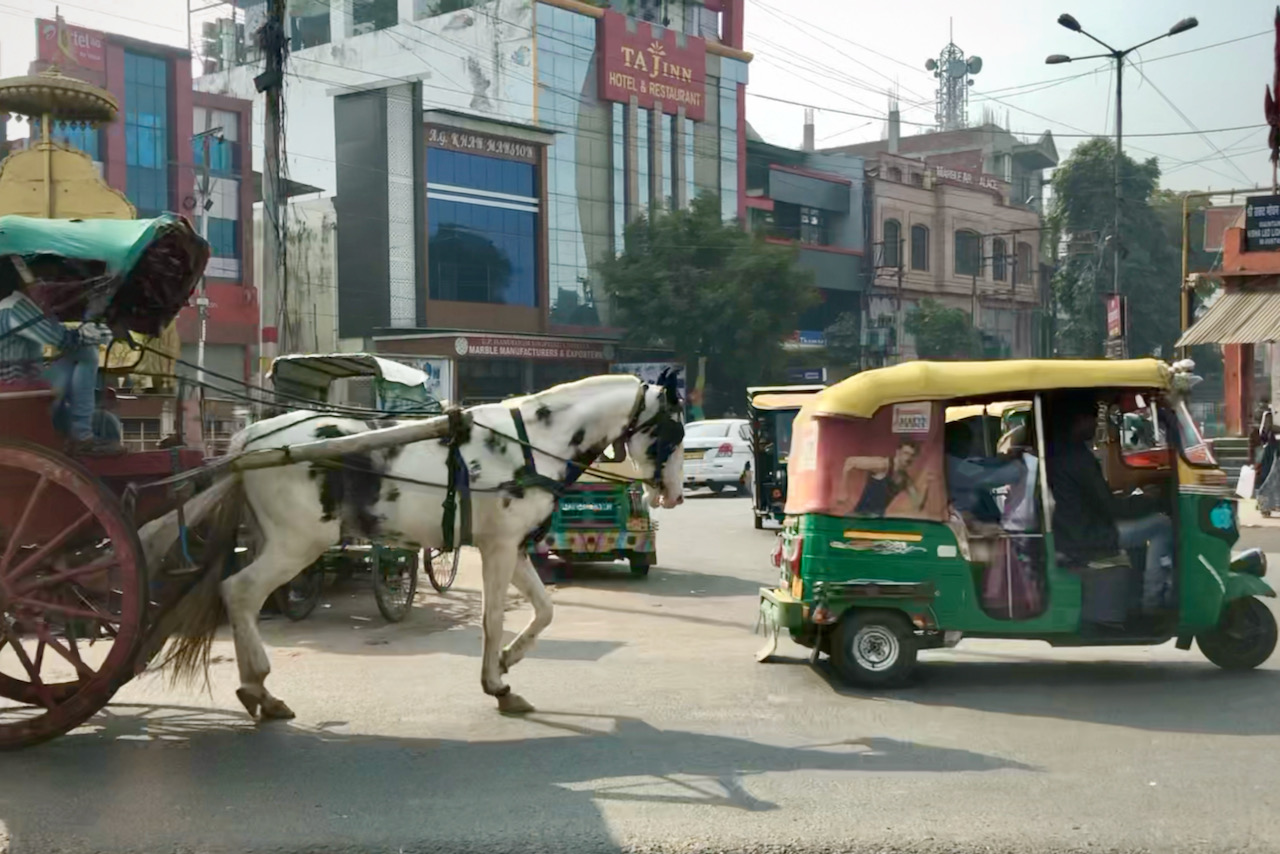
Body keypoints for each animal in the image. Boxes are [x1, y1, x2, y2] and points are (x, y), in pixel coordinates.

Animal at [163, 371, 686, 717]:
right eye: (674, 431)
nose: (676, 495)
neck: (531, 443)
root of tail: (252, 439)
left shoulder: (512, 547)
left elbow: (544, 611)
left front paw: (507, 661)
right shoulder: (498, 547)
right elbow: (492, 618)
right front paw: (496, 684)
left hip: (278, 540)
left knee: (244, 598)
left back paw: (257, 690)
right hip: (300, 542)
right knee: (240, 592)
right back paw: (260, 690)